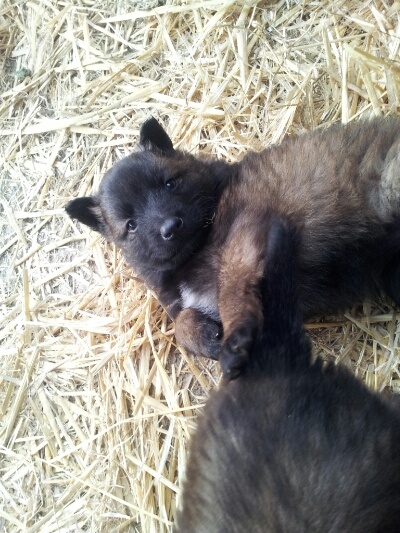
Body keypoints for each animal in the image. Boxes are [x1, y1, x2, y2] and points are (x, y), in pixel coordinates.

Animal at [66, 116, 400, 377]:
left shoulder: (247, 231)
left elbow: (230, 290)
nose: (170, 227)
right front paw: (204, 336)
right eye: (131, 225)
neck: (196, 249)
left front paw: (234, 339)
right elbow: (180, 325)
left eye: (170, 183)